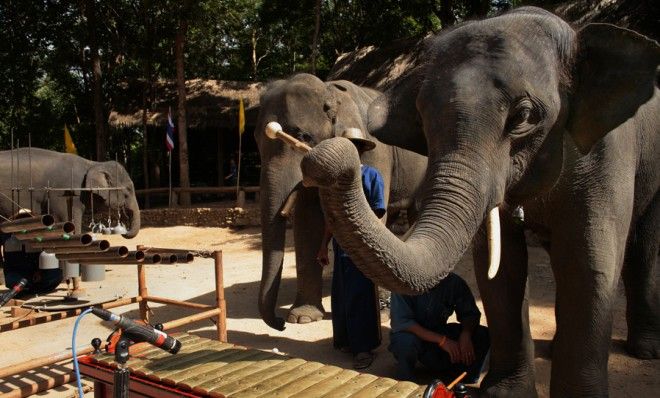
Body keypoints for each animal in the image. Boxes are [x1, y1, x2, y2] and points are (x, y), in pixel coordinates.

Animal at [302, 6, 656, 398]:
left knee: (641, 248)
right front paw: (504, 393)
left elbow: (589, 260)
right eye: (422, 117)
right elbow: (499, 268)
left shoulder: (606, 153)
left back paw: (644, 350)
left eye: (524, 116)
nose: (325, 157)